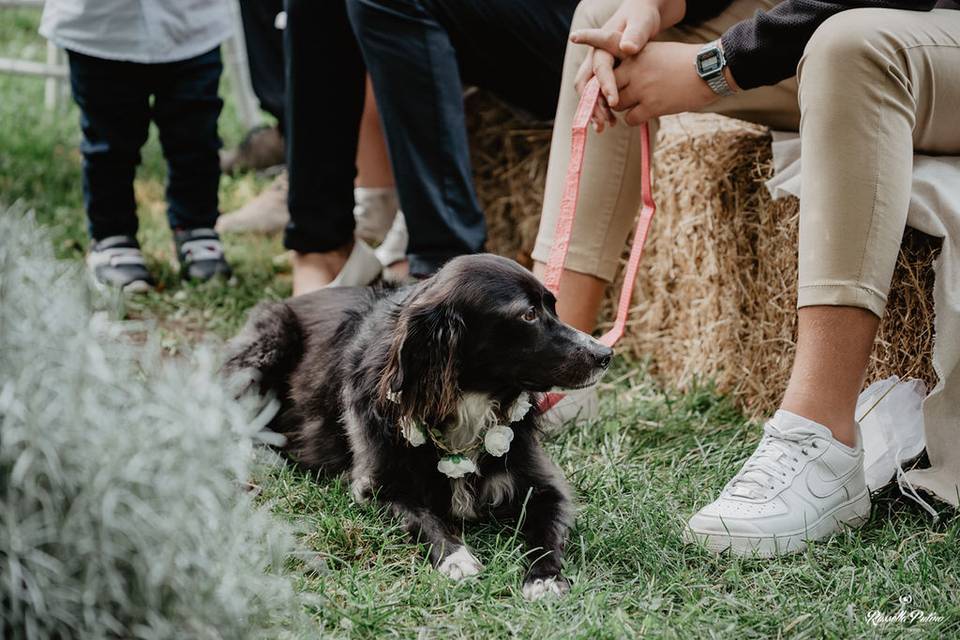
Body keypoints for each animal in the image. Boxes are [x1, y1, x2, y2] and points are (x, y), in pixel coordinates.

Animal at [224, 252, 612, 596]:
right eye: (529, 314)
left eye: (553, 307)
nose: (605, 354)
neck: (468, 399)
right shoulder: (377, 486)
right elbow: (422, 518)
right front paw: (456, 558)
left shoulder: (543, 486)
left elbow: (547, 531)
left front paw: (545, 578)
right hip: (265, 352)